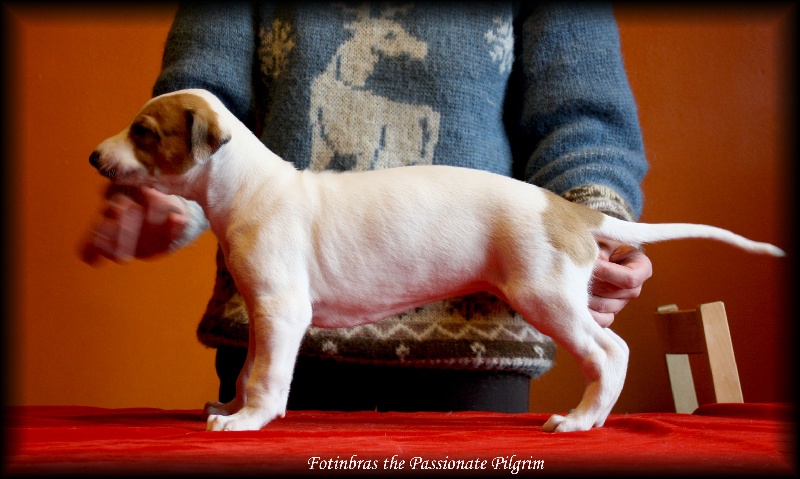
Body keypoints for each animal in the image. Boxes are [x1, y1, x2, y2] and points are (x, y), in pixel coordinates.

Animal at [89, 89, 784, 432]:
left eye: (144, 132)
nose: (95, 157)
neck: (250, 185)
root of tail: (569, 212)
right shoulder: (264, 312)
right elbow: (251, 367)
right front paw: (233, 408)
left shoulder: (284, 311)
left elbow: (266, 375)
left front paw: (249, 421)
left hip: (547, 295)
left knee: (610, 352)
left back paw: (584, 421)